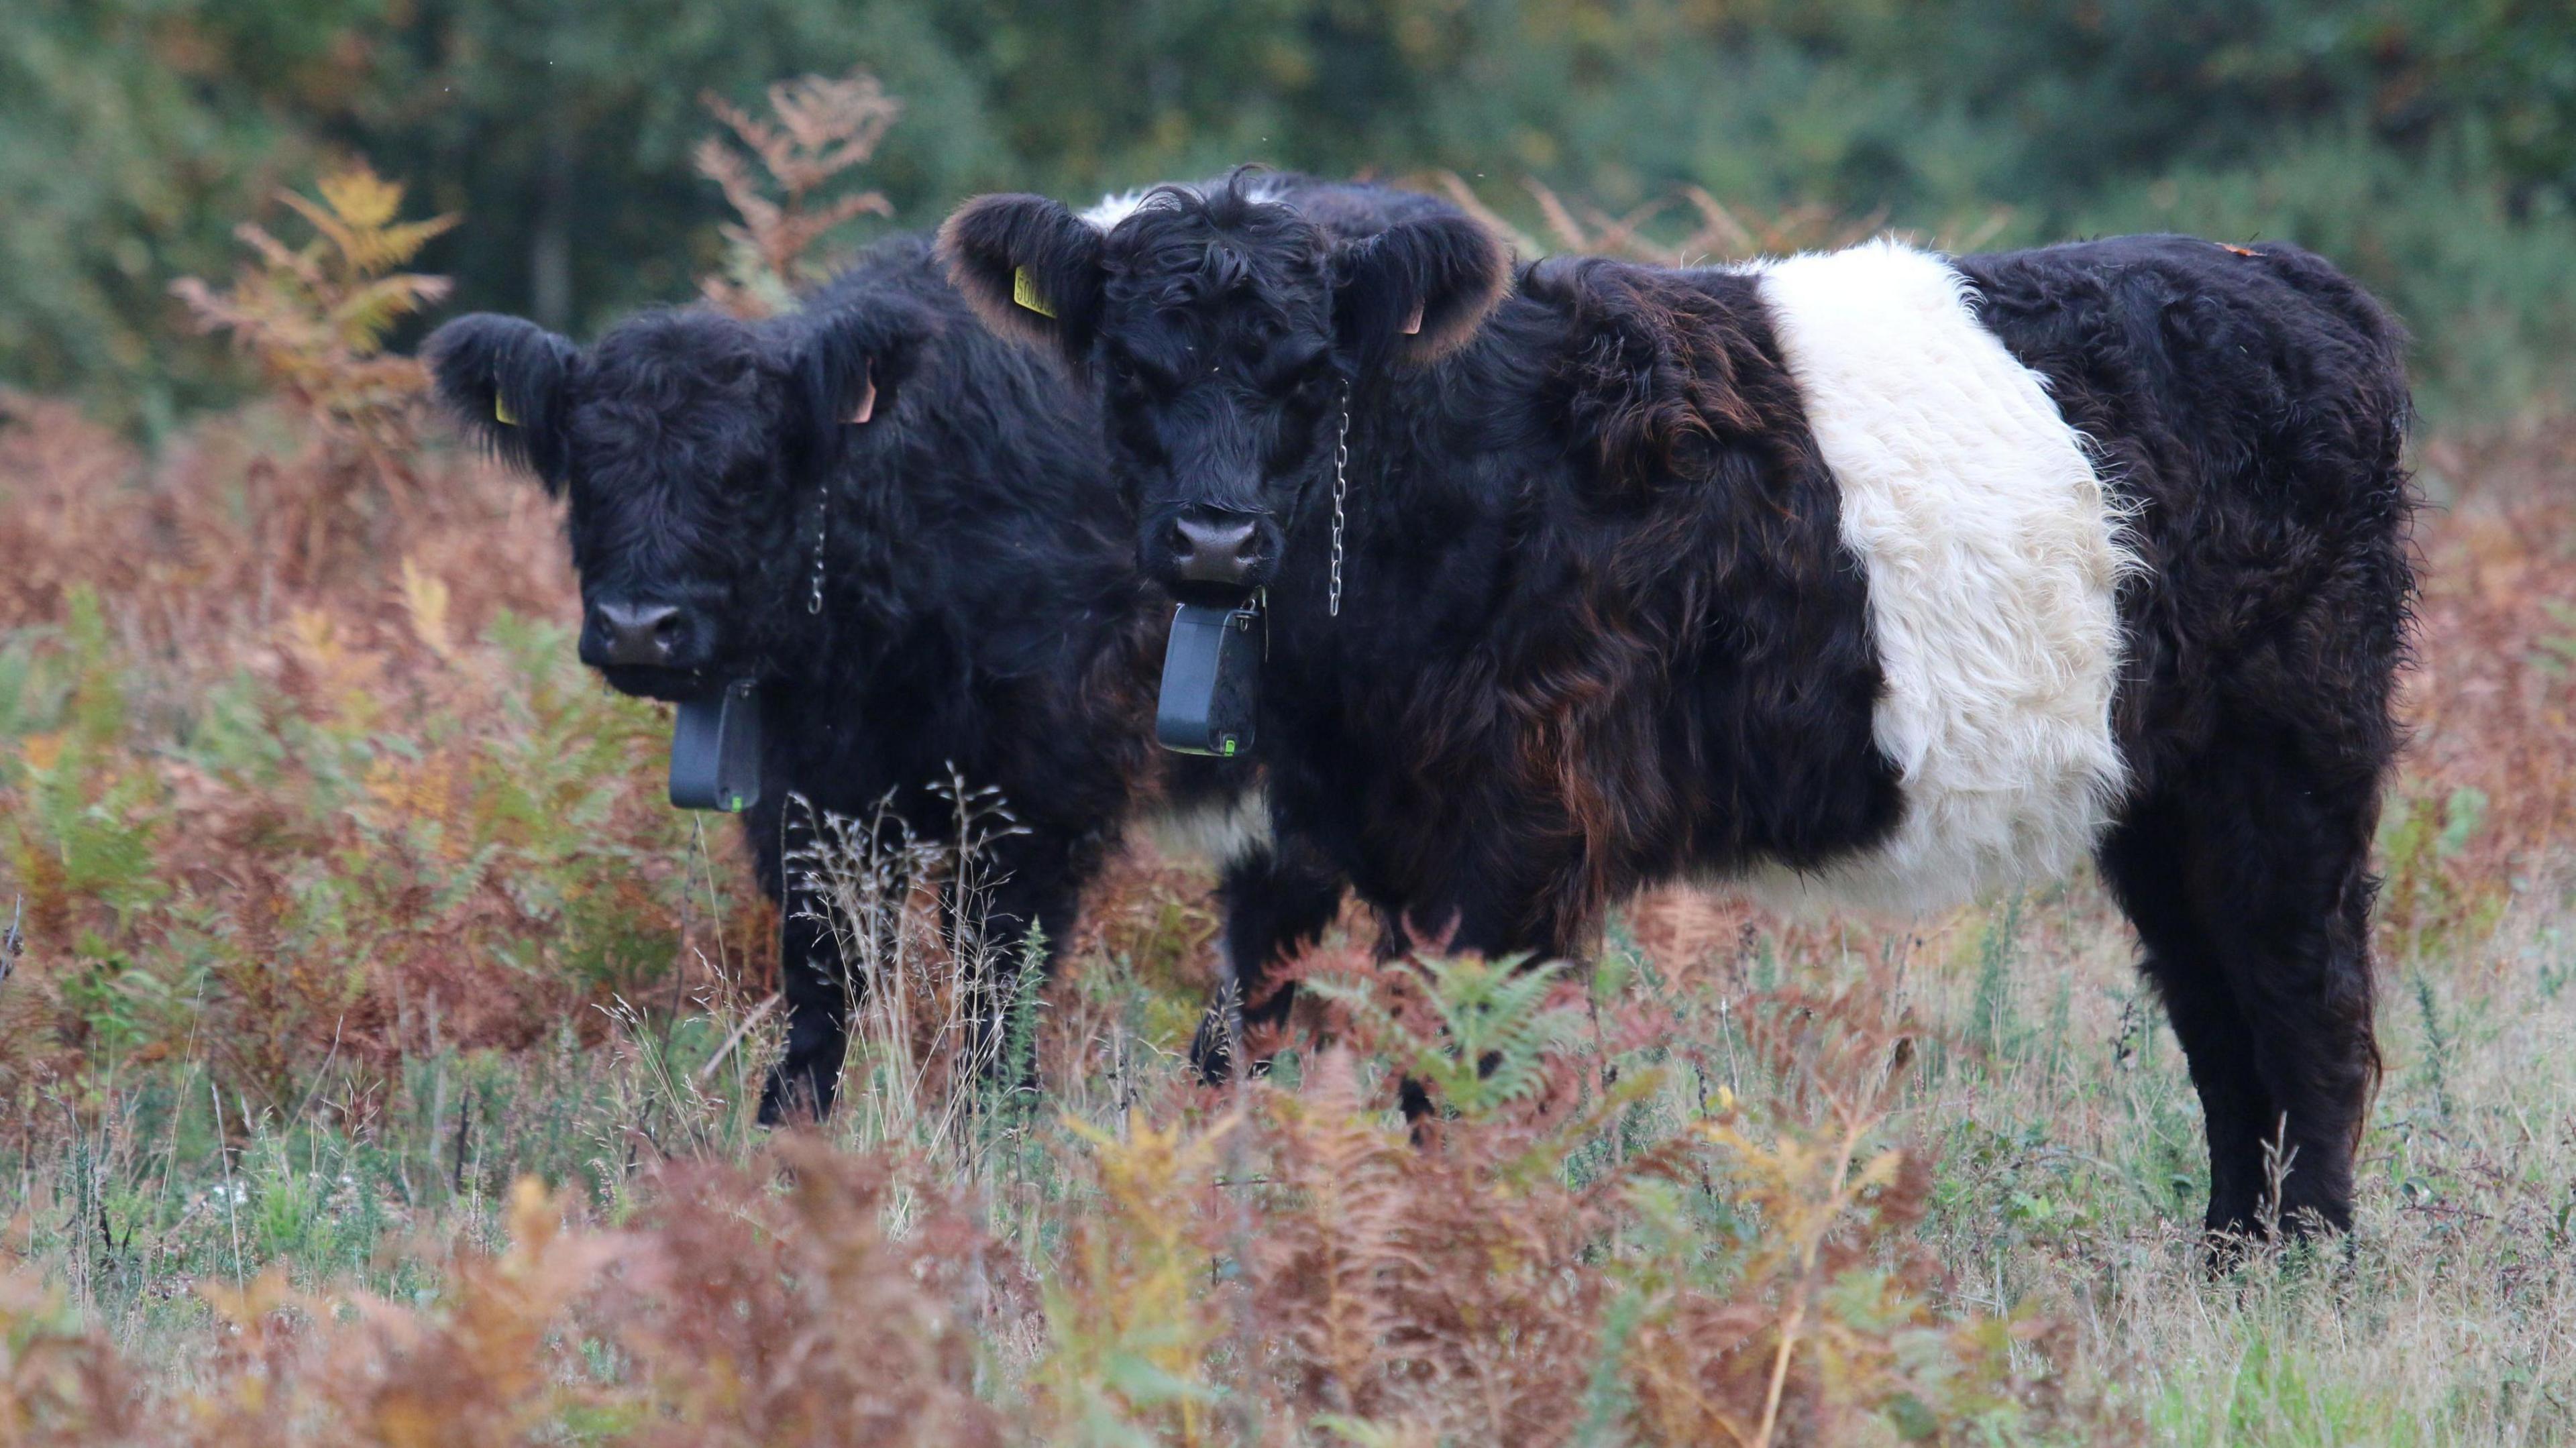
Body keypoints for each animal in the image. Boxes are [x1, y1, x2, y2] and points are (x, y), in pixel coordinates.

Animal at [423, 232, 1338, 1122]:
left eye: (751, 471)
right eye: (586, 472)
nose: (641, 626)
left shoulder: (1037, 796)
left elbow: (999, 976)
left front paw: (996, 1131)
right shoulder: (808, 804)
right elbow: (823, 980)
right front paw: (787, 1132)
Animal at [940, 173, 2414, 1241]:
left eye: (1312, 374)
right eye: (1132, 372)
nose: (1214, 539)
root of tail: (2284, 275)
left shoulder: (1515, 839)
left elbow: (1468, 1080)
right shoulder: (1302, 831)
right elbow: (1240, 1050)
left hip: (2291, 756)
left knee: (2306, 1005)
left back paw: (2305, 1270)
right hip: (2164, 792)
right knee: (2220, 1020)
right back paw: (2229, 1259)